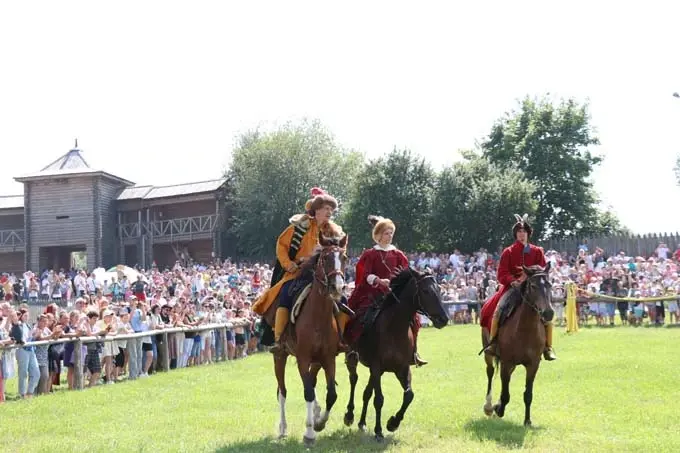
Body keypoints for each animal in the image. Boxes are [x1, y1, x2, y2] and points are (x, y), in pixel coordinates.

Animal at [262, 231, 348, 446]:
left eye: (344, 258)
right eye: (325, 258)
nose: (337, 287)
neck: (317, 316)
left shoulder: (328, 358)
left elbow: (331, 394)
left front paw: (319, 423)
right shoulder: (302, 358)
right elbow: (307, 392)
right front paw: (309, 432)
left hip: (316, 361)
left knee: (312, 382)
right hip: (280, 357)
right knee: (282, 391)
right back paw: (283, 428)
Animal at [342, 266, 448, 440]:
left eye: (439, 289)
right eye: (425, 291)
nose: (443, 319)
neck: (394, 328)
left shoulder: (402, 368)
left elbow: (409, 395)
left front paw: (393, 423)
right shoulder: (377, 366)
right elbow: (379, 399)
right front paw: (378, 431)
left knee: (367, 392)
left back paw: (362, 422)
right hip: (353, 358)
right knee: (353, 379)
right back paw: (350, 415)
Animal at [480, 264, 556, 426]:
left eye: (549, 285)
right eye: (533, 286)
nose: (548, 313)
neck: (525, 329)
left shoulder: (533, 365)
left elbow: (528, 394)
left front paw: (527, 421)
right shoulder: (507, 362)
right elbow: (505, 394)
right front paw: (498, 409)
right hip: (489, 355)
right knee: (490, 372)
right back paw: (489, 406)